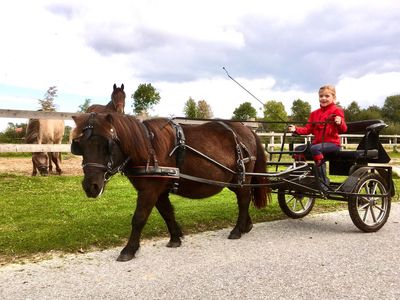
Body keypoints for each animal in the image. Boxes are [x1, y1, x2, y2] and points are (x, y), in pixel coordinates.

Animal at [72, 113, 272, 262]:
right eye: (79, 146)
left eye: (107, 144)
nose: (90, 186)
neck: (149, 148)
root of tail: (247, 130)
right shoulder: (158, 192)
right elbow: (167, 213)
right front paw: (175, 238)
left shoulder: (149, 191)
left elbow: (139, 218)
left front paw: (129, 250)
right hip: (234, 181)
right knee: (243, 199)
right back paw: (246, 225)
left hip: (242, 176)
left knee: (243, 200)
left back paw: (237, 230)